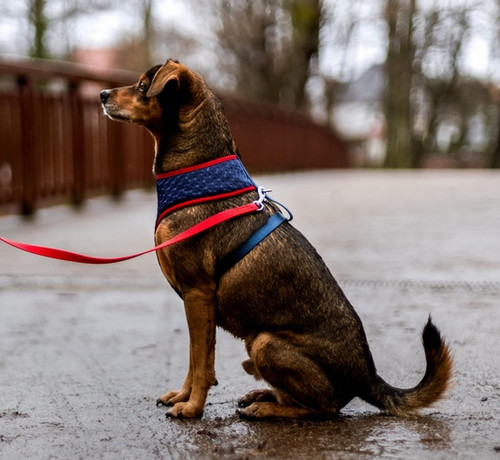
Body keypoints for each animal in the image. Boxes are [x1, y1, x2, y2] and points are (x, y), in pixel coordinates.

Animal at [98, 60, 454, 420]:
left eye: (143, 87)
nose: (102, 94)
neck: (198, 175)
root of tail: (367, 377)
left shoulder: (197, 295)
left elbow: (201, 363)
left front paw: (193, 407)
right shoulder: (194, 303)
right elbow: (194, 357)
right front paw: (183, 396)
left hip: (264, 342)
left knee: (323, 408)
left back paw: (266, 409)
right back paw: (263, 394)